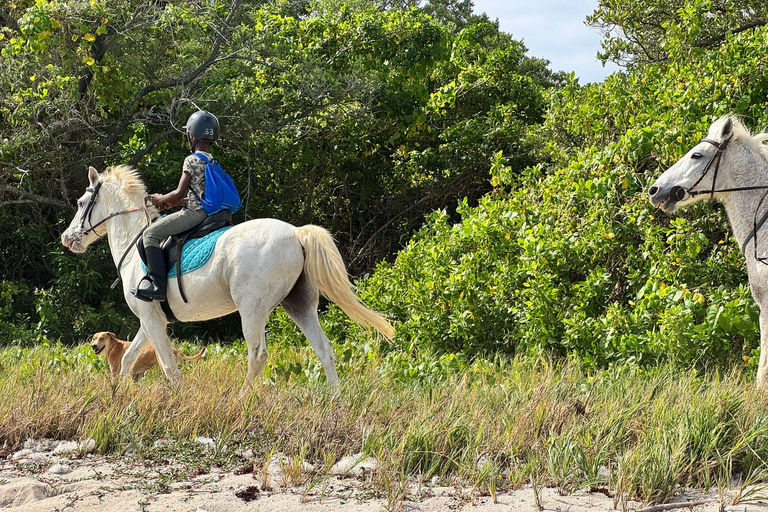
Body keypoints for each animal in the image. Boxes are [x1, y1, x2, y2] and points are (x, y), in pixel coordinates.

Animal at [61, 165, 394, 393]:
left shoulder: (152, 319)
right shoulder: (150, 318)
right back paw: (335, 398)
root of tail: (296, 233)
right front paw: (118, 395)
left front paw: (179, 399)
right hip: (298, 305)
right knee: (324, 349)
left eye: (80, 203)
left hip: (252, 309)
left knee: (257, 355)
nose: (67, 238)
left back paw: (242, 397)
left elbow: (168, 365)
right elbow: (130, 359)